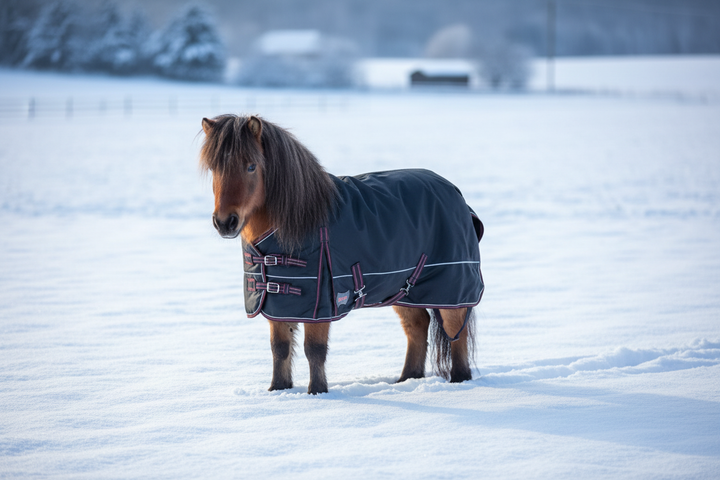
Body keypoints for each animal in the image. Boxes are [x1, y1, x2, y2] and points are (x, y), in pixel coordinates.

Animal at [200, 114, 484, 394]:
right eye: (214, 169)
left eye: (251, 166)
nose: (225, 222)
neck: (298, 220)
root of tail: (456, 193)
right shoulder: (277, 303)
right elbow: (279, 348)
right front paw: (278, 390)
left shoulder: (321, 304)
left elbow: (314, 350)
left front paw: (317, 392)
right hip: (402, 290)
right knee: (417, 327)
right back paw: (407, 379)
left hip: (451, 288)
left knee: (454, 331)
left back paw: (459, 380)